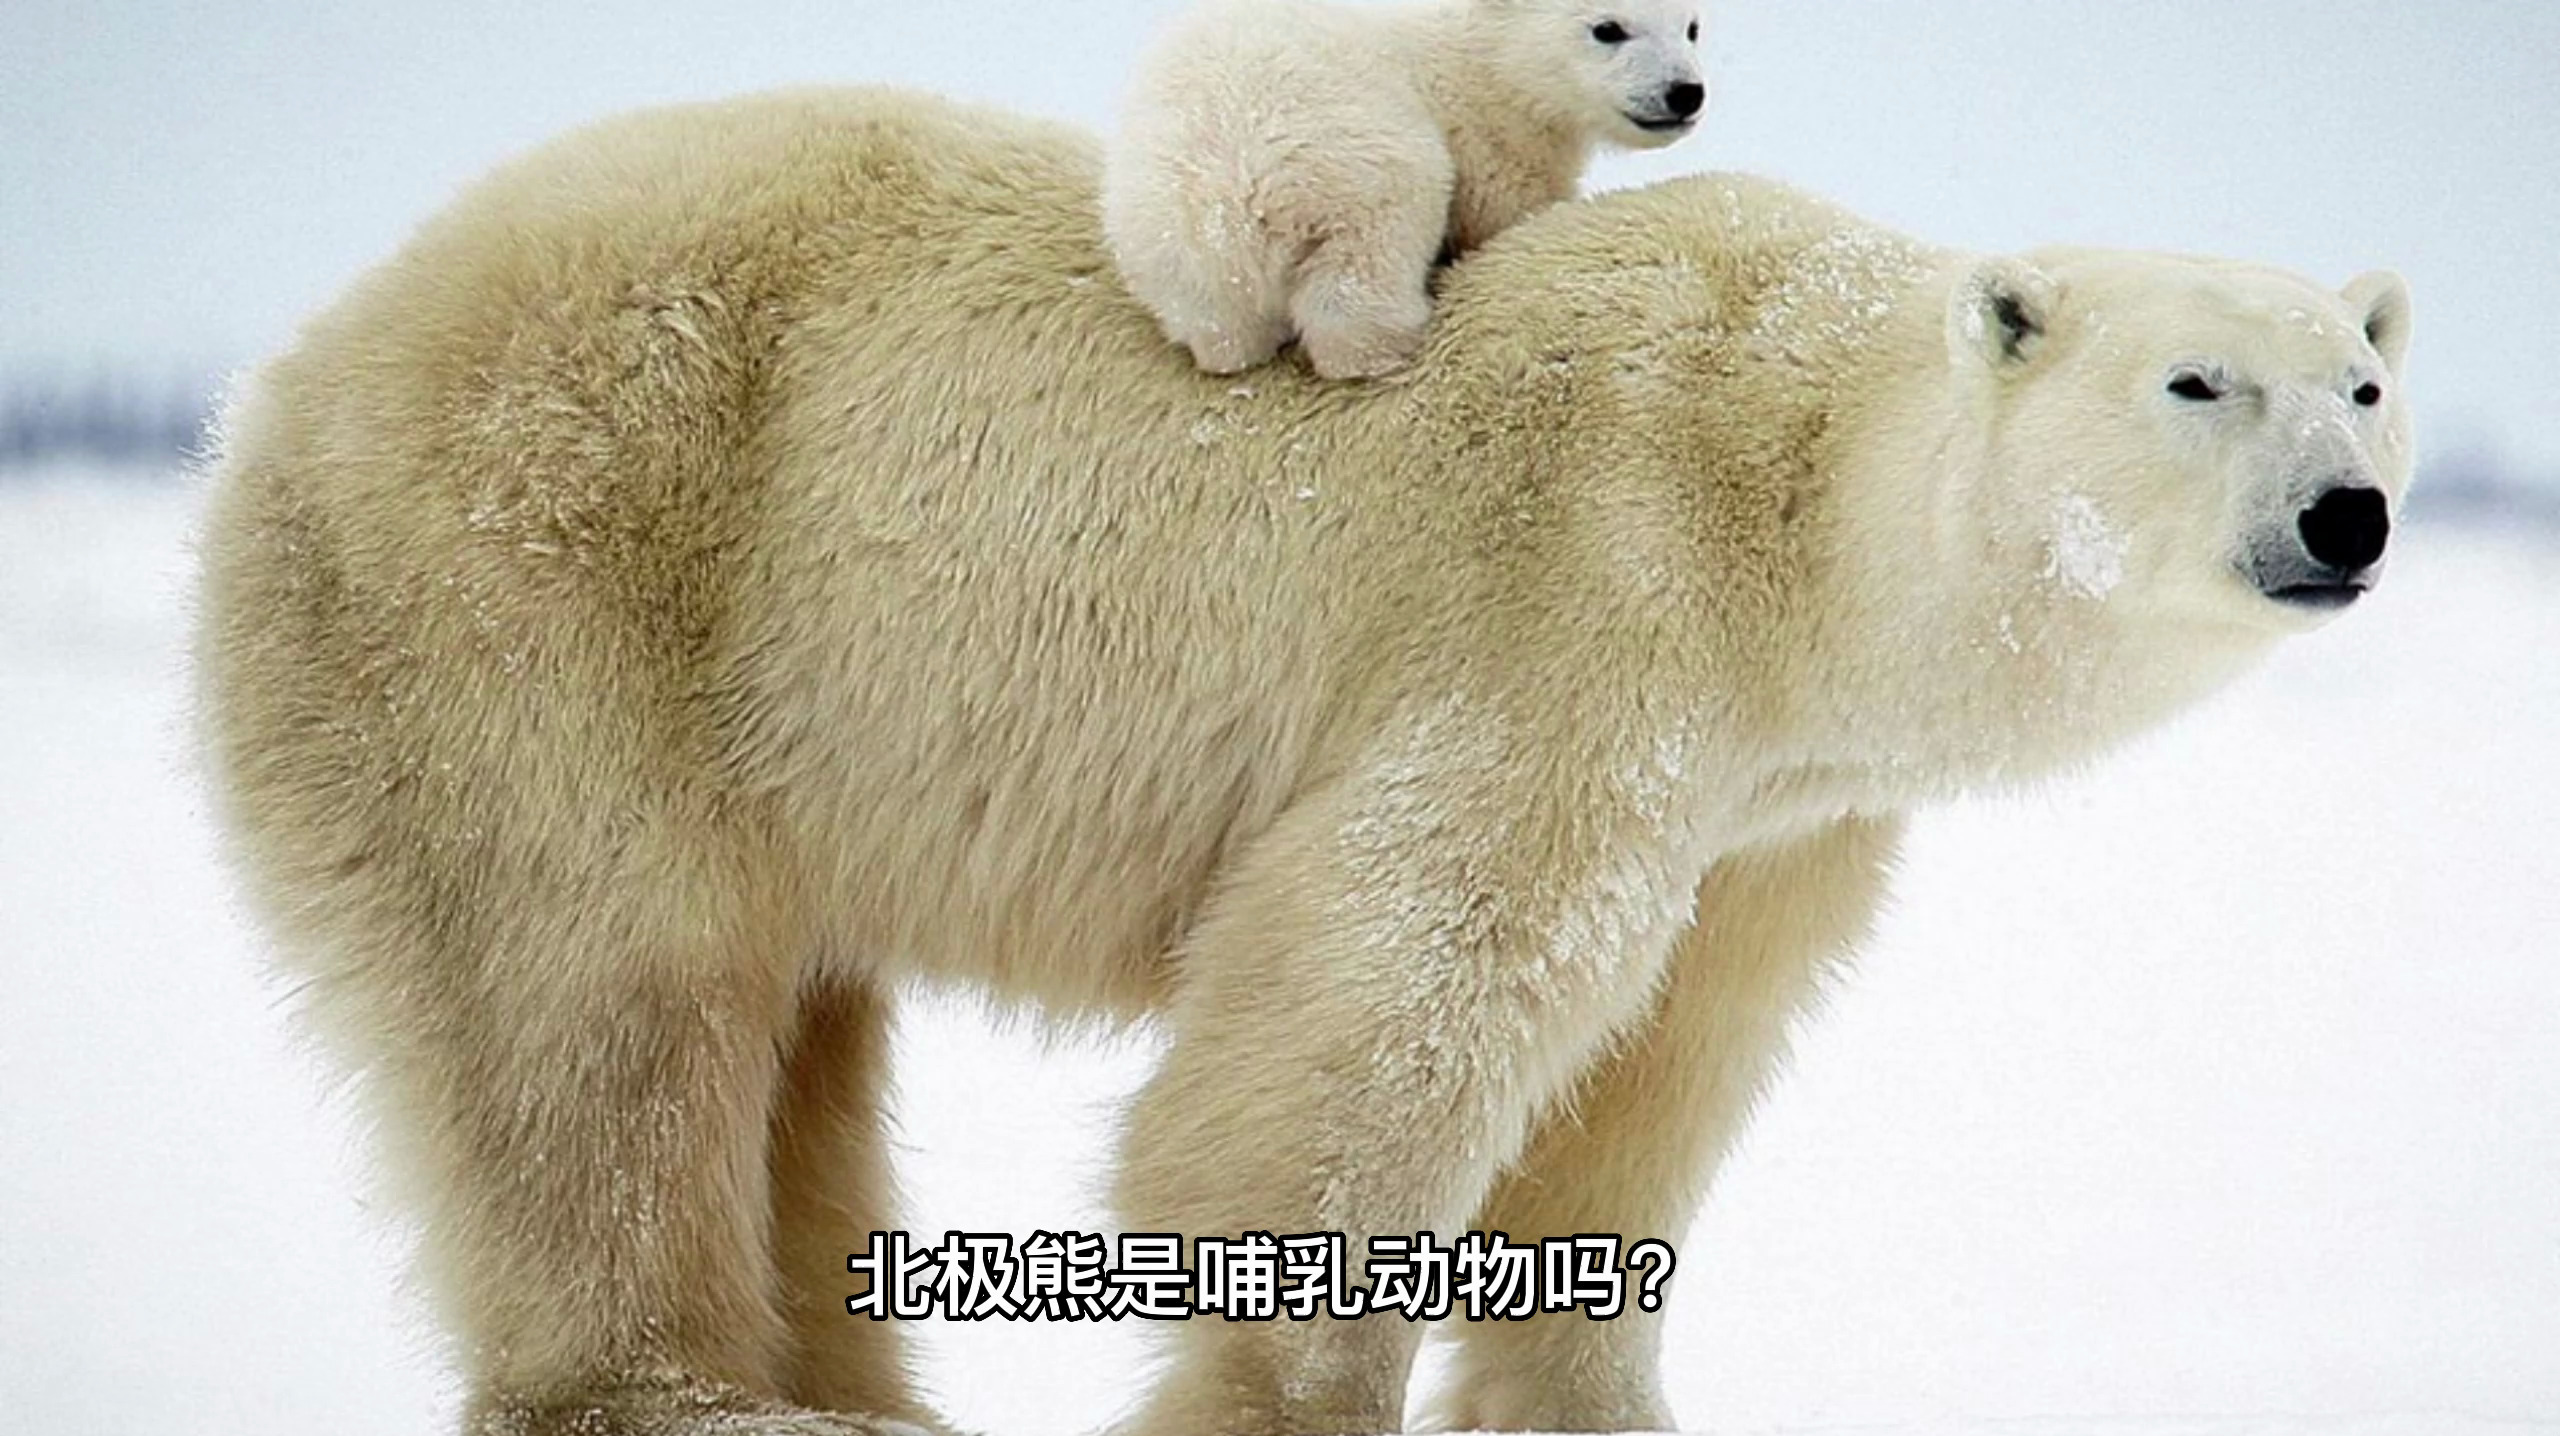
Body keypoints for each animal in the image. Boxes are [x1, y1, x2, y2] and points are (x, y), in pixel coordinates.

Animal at [193, 88, 2412, 1436]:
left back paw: (856, 1384)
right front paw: (1292, 1379)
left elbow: (1661, 1062)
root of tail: (295, 369)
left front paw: (1596, 1392)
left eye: (2363, 379)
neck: (1784, 497)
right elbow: (1397, 990)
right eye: (2196, 379)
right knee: (600, 995)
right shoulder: (1581, 598)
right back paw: (693, 1387)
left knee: (791, 1031)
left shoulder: (1777, 812)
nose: (2349, 516)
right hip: (548, 579)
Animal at [1102, 0, 1706, 378]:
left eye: (1692, 27)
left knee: (1216, 319)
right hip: (1357, 172)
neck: (1485, 59)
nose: (1685, 92)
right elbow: (1505, 214)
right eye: (1608, 28)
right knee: (1363, 277)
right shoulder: (1488, 137)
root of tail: (1232, 191)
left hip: (1160, 235)